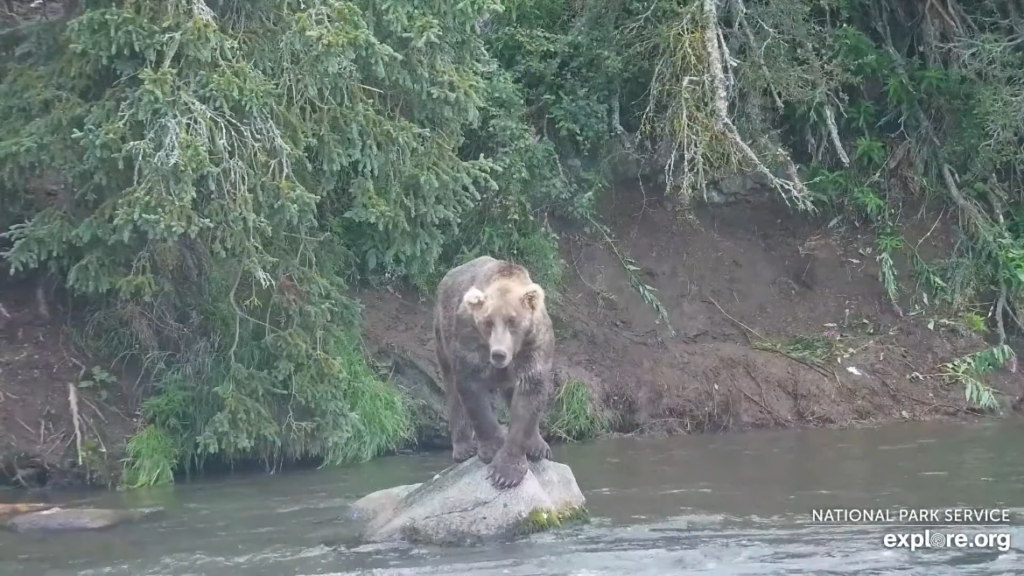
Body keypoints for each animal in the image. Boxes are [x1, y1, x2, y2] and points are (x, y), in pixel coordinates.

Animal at [434, 254, 557, 483]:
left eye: (512, 320)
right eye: (488, 321)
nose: (499, 354)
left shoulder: (533, 346)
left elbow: (529, 396)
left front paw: (506, 472)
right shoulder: (469, 340)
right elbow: (473, 392)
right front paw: (493, 448)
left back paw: (539, 445)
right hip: (442, 332)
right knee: (452, 388)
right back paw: (463, 448)